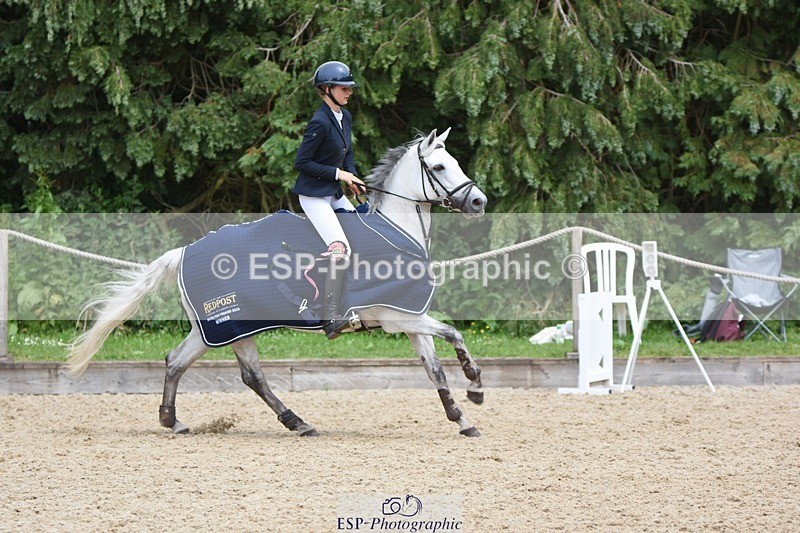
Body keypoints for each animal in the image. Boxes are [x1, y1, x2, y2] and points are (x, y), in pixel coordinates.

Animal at [67, 128, 489, 437]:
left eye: (455, 163)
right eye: (439, 167)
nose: (479, 203)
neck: (397, 231)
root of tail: (183, 252)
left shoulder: (409, 316)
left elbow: (434, 368)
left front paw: (463, 418)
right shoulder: (394, 316)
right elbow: (453, 334)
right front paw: (475, 386)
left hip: (219, 328)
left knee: (181, 362)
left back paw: (176, 421)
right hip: (232, 324)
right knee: (247, 375)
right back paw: (295, 422)